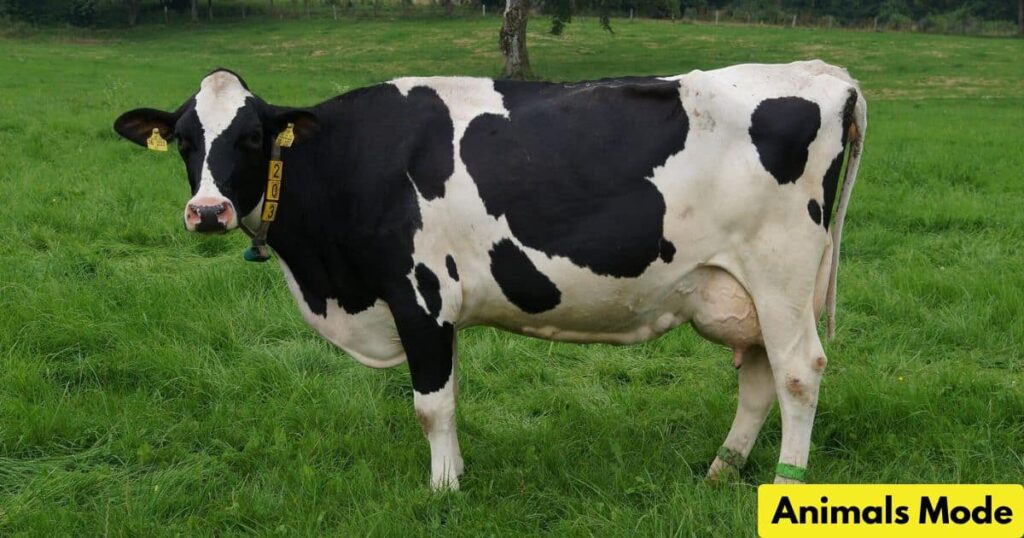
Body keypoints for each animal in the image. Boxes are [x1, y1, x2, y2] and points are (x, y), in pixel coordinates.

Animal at [114, 60, 866, 490]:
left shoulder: (419, 296)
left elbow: (430, 405)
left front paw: (443, 491)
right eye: (184, 140)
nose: (207, 211)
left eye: (251, 138)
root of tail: (822, 74)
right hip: (739, 287)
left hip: (782, 273)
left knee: (799, 372)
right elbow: (446, 399)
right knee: (759, 375)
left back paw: (788, 485)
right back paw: (720, 471)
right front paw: (455, 477)